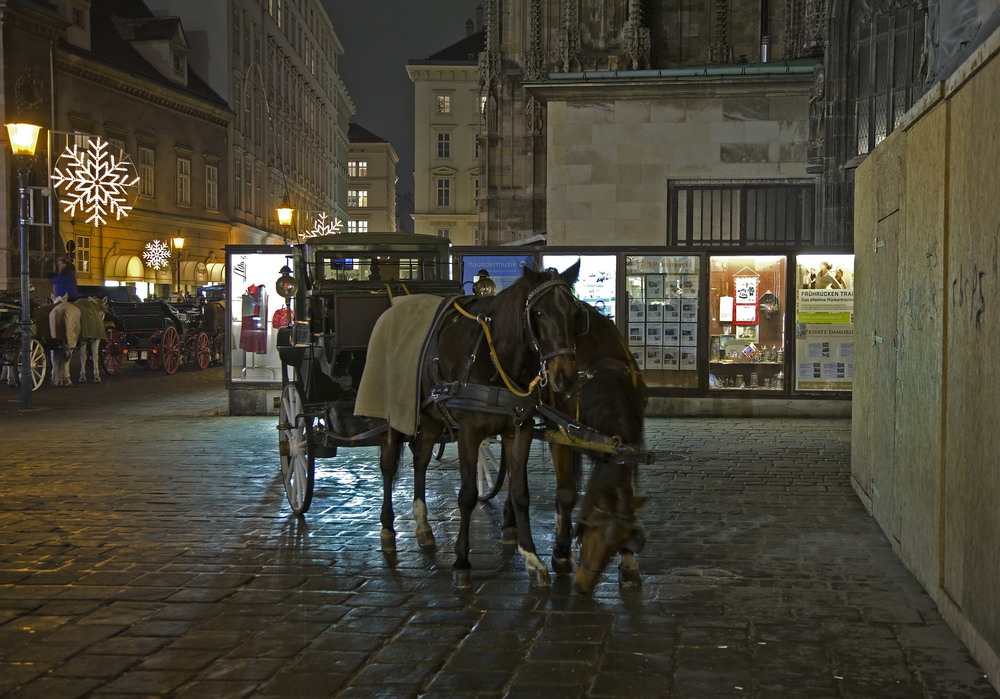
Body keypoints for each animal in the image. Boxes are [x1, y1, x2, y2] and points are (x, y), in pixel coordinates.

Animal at [370, 266, 584, 588]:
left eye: (574, 313)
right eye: (540, 313)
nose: (566, 379)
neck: (495, 357)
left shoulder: (518, 429)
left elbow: (520, 494)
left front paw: (532, 557)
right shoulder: (468, 433)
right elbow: (468, 495)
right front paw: (461, 560)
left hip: (430, 417)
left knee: (420, 459)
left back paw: (422, 525)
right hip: (393, 412)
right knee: (387, 464)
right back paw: (387, 529)